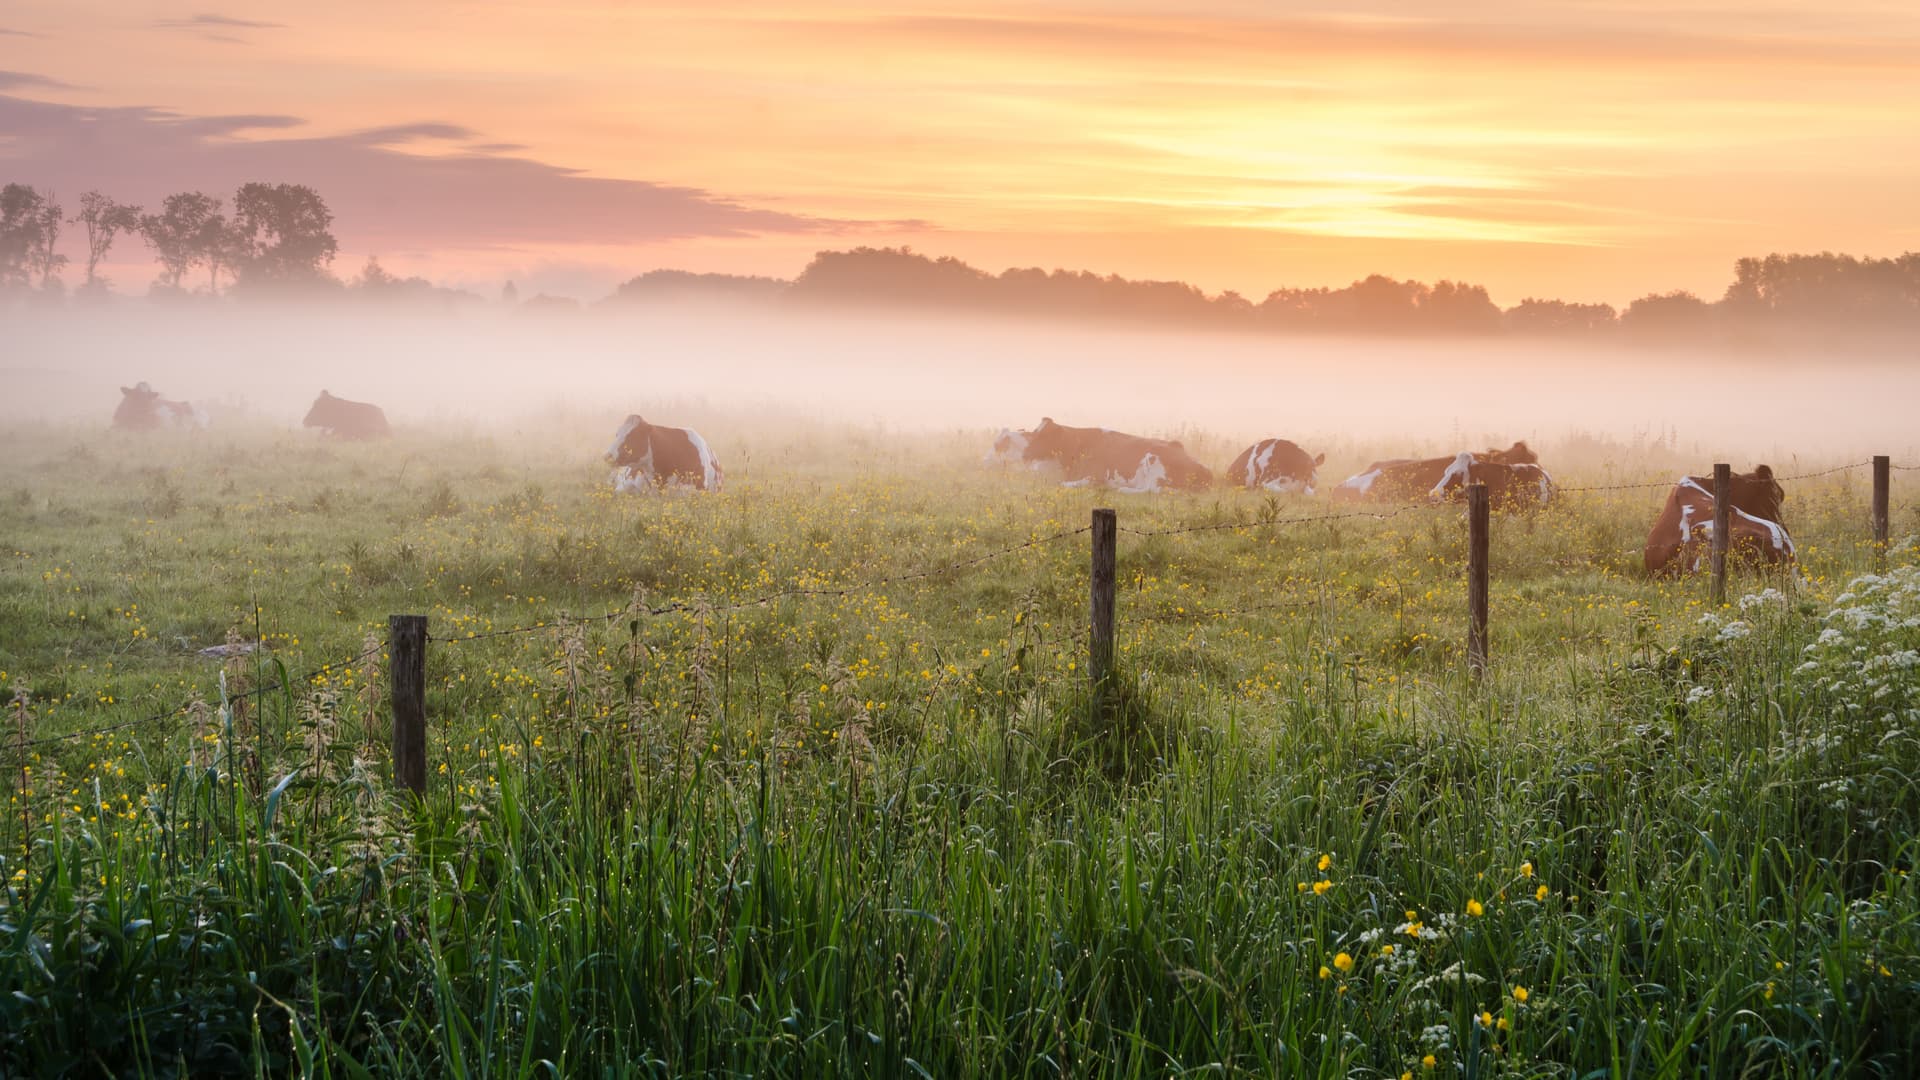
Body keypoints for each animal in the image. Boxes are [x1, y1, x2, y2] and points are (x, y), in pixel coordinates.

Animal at [1004, 417, 1213, 492]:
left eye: (1045, 436)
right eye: (1034, 432)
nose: (1025, 454)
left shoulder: (1095, 476)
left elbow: (1062, 483)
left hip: (1153, 462)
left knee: (1153, 490)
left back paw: (1120, 488)